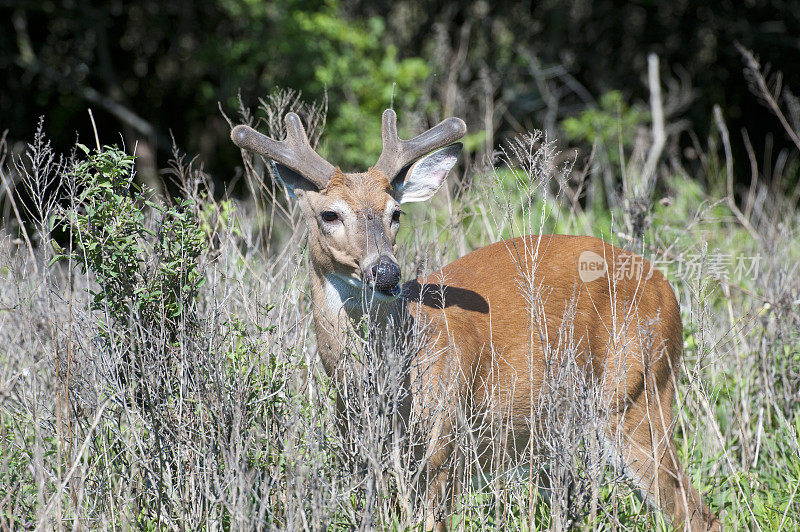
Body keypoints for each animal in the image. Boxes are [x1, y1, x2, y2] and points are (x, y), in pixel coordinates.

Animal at [230, 110, 720, 528]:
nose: (386, 272)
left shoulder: (443, 443)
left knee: (695, 512)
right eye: (328, 214)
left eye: (396, 213)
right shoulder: (364, 459)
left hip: (637, 392)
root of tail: (668, 289)